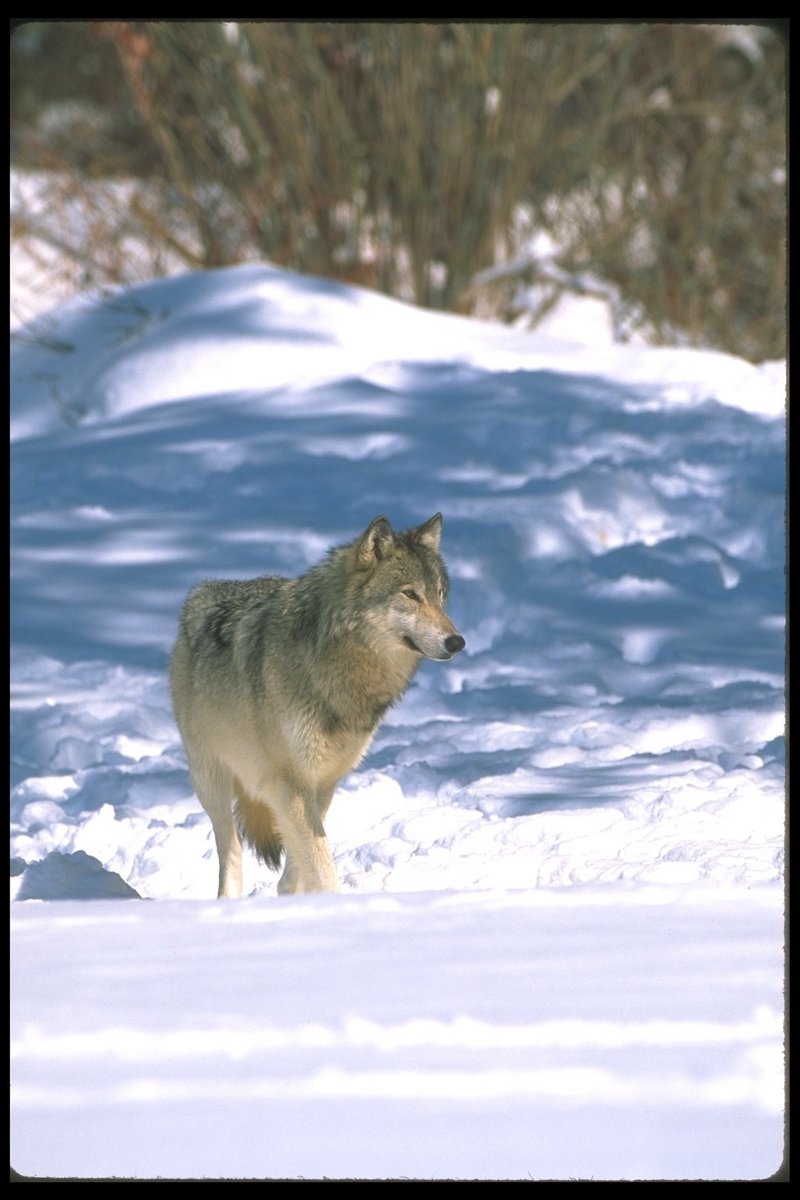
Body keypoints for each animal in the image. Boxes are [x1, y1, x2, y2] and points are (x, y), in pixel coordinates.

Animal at [172, 511, 465, 897]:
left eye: (440, 595)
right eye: (410, 594)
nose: (457, 642)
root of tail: (206, 589)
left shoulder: (321, 782)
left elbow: (304, 860)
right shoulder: (291, 782)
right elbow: (321, 864)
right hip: (210, 778)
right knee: (230, 850)